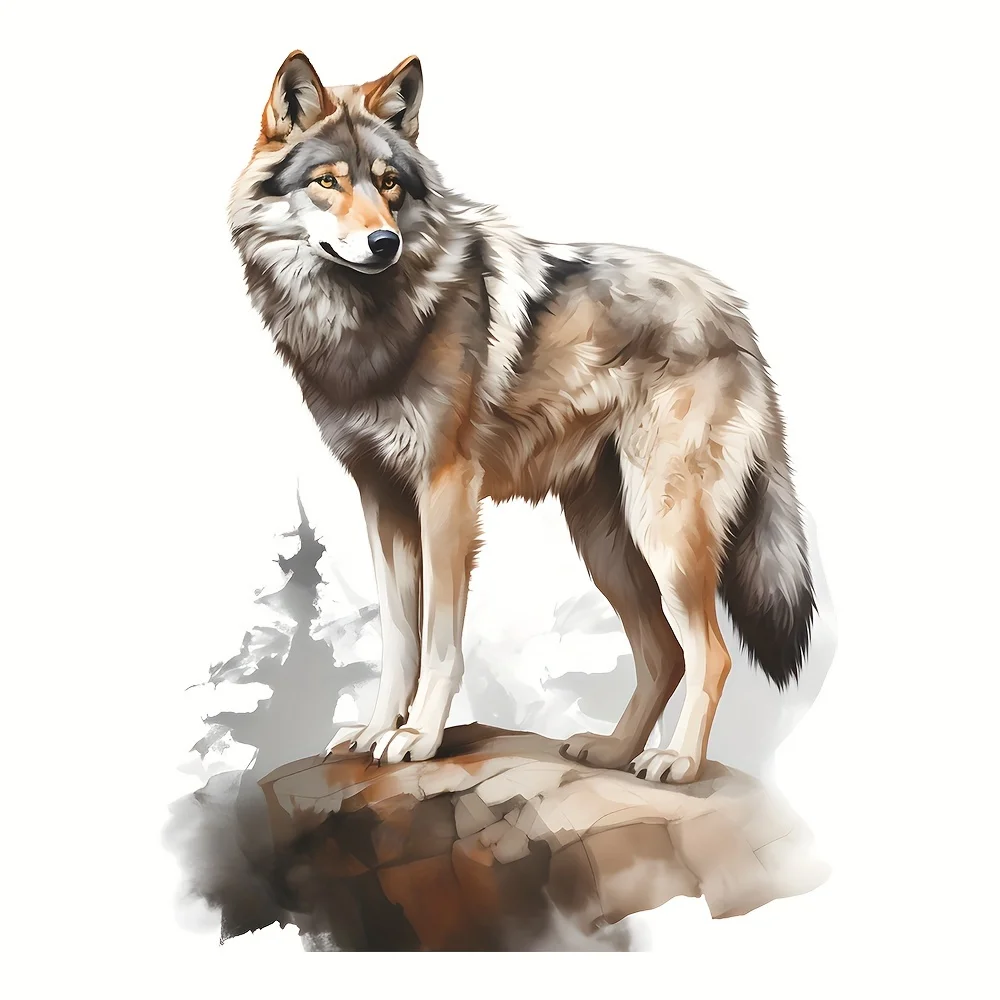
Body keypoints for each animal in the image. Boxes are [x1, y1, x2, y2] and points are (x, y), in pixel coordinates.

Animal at [229, 52, 815, 783]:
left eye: (389, 184)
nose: (384, 242)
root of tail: (735, 314)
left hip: (663, 530)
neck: (366, 324)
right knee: (663, 653)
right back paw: (614, 752)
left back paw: (675, 760)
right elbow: (397, 637)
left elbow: (439, 640)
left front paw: (418, 737)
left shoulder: (446, 493)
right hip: (605, 541)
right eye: (327, 181)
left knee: (712, 650)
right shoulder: (380, 497)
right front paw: (374, 731)